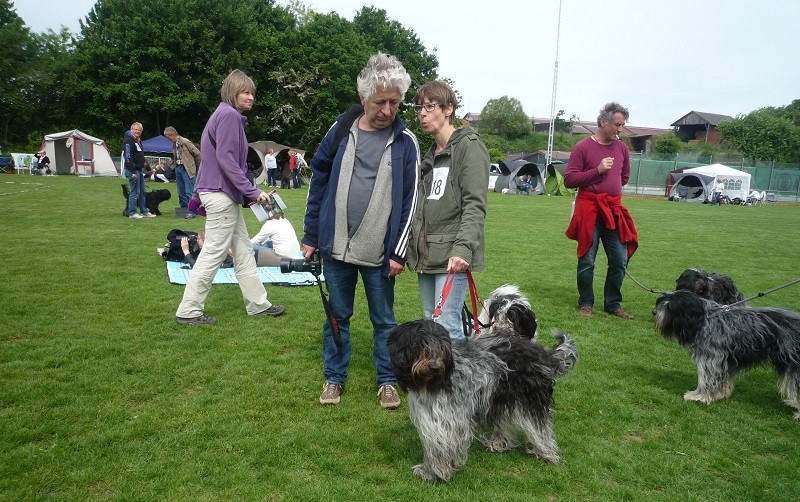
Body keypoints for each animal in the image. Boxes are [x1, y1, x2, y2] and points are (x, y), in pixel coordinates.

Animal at [388, 318, 576, 482]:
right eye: (420, 345)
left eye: (442, 348)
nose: (434, 367)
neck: (435, 382)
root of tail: (540, 353)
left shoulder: (446, 419)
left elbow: (439, 446)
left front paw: (434, 472)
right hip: (501, 397)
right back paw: (500, 443)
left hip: (530, 399)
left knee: (541, 428)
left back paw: (546, 453)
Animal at [652, 288, 800, 418]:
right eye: (661, 301)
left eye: (669, 306)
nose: (654, 312)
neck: (705, 319)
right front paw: (719, 394)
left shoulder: (712, 358)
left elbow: (707, 380)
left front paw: (699, 396)